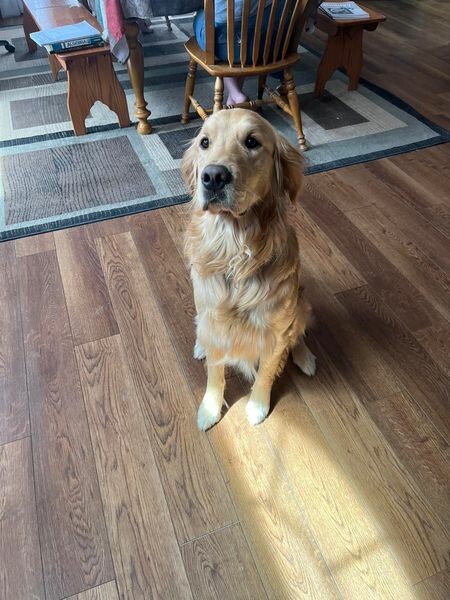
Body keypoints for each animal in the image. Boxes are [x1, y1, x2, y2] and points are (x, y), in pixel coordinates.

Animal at [182, 109, 316, 431]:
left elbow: (266, 372)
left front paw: (257, 406)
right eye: (205, 142)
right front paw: (210, 409)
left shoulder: (276, 334)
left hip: (301, 302)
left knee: (299, 333)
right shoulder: (215, 323)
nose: (213, 176)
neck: (234, 251)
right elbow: (215, 374)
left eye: (252, 142)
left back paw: (305, 357)